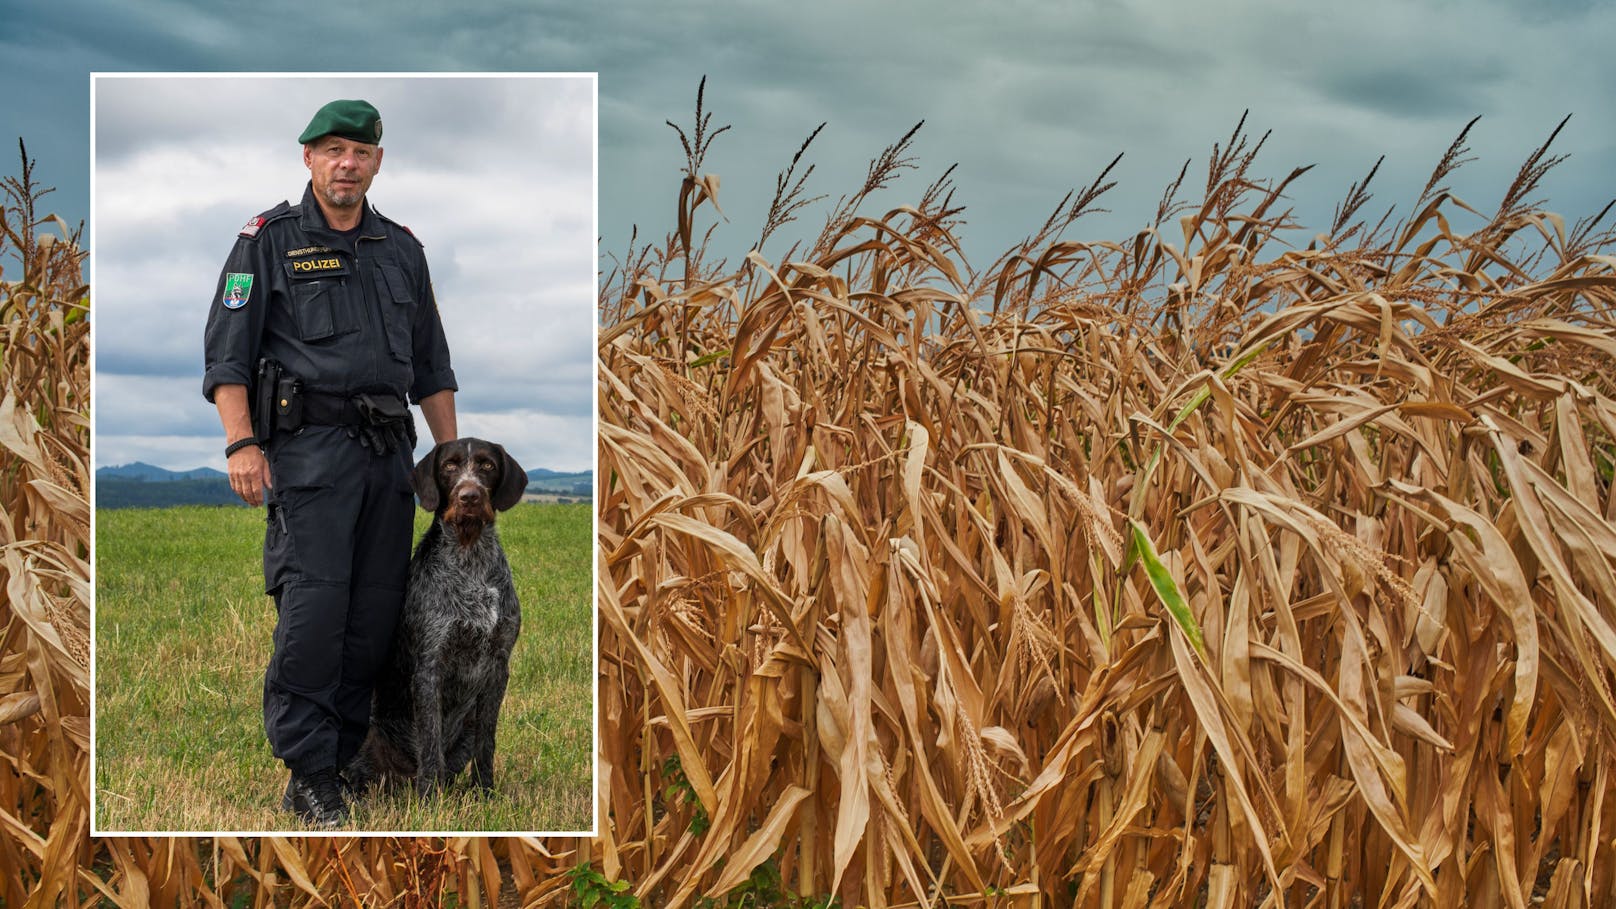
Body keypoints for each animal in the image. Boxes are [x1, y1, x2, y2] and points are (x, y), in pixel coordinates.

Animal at [349, 436, 530, 789]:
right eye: (449, 466)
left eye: (487, 465)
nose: (469, 496)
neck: (470, 558)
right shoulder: (430, 664)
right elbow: (430, 741)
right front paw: (429, 797)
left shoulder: (498, 667)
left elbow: (486, 744)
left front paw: (484, 791)